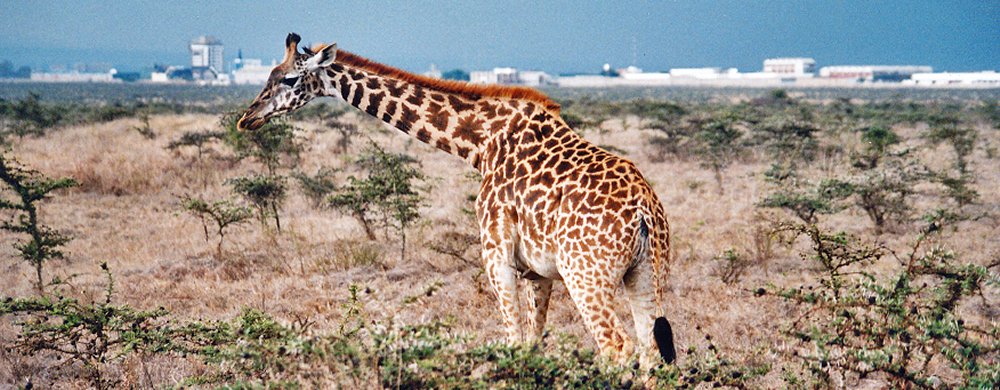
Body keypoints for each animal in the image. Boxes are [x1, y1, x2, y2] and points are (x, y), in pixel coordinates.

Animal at [238, 33, 676, 366]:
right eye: (268, 76)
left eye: (289, 80)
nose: (247, 118)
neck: (480, 143)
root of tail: (645, 211)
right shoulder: (538, 271)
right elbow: (532, 343)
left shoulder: (497, 255)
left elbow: (514, 340)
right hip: (645, 273)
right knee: (650, 348)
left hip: (586, 275)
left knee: (617, 347)